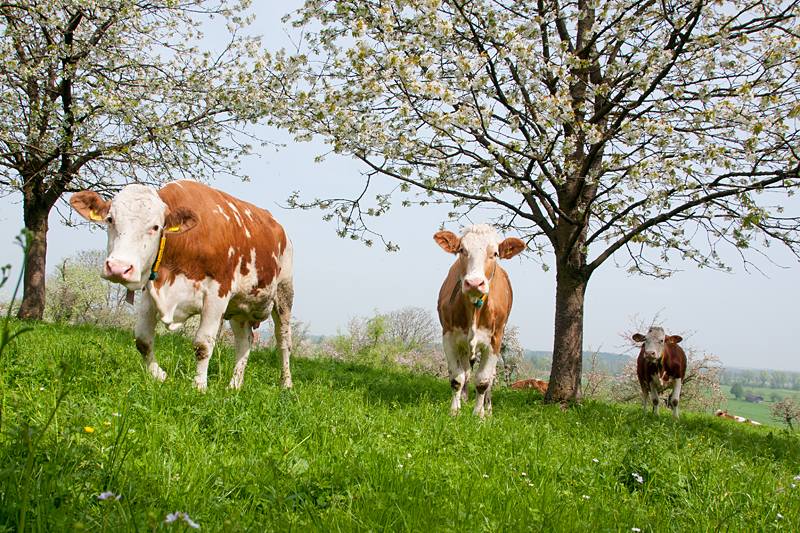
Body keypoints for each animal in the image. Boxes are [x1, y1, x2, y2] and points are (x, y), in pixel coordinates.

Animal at [72, 180, 294, 390]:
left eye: (156, 227)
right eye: (110, 220)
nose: (119, 268)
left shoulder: (218, 293)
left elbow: (203, 344)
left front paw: (199, 386)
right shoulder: (152, 290)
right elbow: (143, 339)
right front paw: (158, 375)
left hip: (283, 293)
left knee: (283, 342)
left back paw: (286, 384)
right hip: (239, 308)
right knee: (244, 342)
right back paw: (234, 385)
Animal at [438, 221, 524, 416]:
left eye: (495, 253)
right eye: (462, 250)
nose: (474, 283)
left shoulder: (495, 339)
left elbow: (483, 380)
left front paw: (479, 415)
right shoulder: (449, 336)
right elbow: (457, 377)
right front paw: (454, 411)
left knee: (491, 377)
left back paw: (488, 408)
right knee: (466, 371)